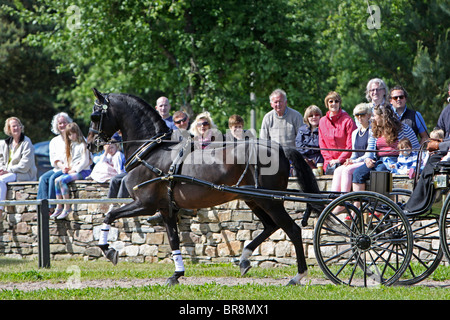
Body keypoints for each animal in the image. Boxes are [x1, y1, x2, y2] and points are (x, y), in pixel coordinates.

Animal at [87, 88, 320, 284]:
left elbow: (109, 215)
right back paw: (244, 259)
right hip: (253, 199)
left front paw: (108, 250)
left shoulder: (145, 204)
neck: (151, 151)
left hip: (270, 201)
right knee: (270, 226)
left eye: (95, 116)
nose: (90, 143)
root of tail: (279, 148)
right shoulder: (165, 208)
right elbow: (173, 240)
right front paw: (177, 274)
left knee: (292, 229)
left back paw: (298, 275)